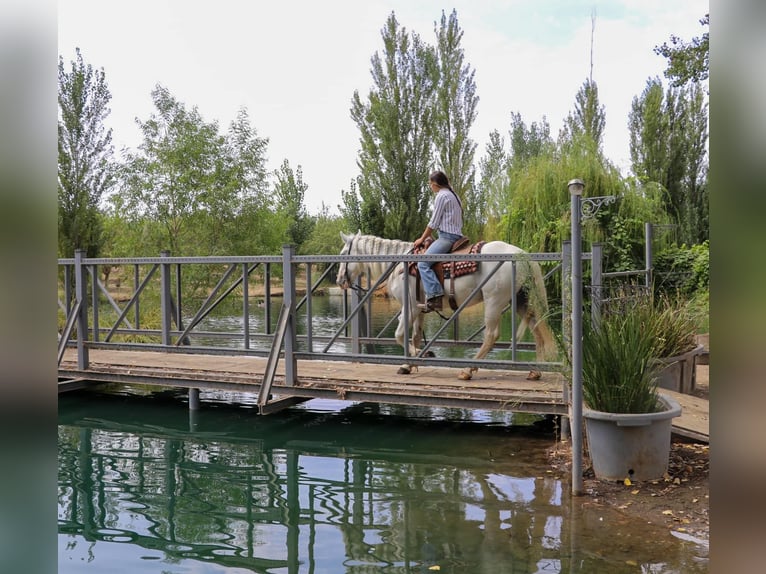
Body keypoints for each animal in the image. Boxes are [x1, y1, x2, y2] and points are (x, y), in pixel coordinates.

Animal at [336, 232, 560, 380]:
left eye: (343, 253)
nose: (339, 280)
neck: (400, 265)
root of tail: (523, 255)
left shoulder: (410, 307)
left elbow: (400, 336)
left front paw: (420, 355)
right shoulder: (419, 309)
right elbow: (415, 336)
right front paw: (409, 364)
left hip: (494, 301)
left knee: (491, 335)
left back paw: (468, 370)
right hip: (522, 300)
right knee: (537, 330)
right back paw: (535, 371)